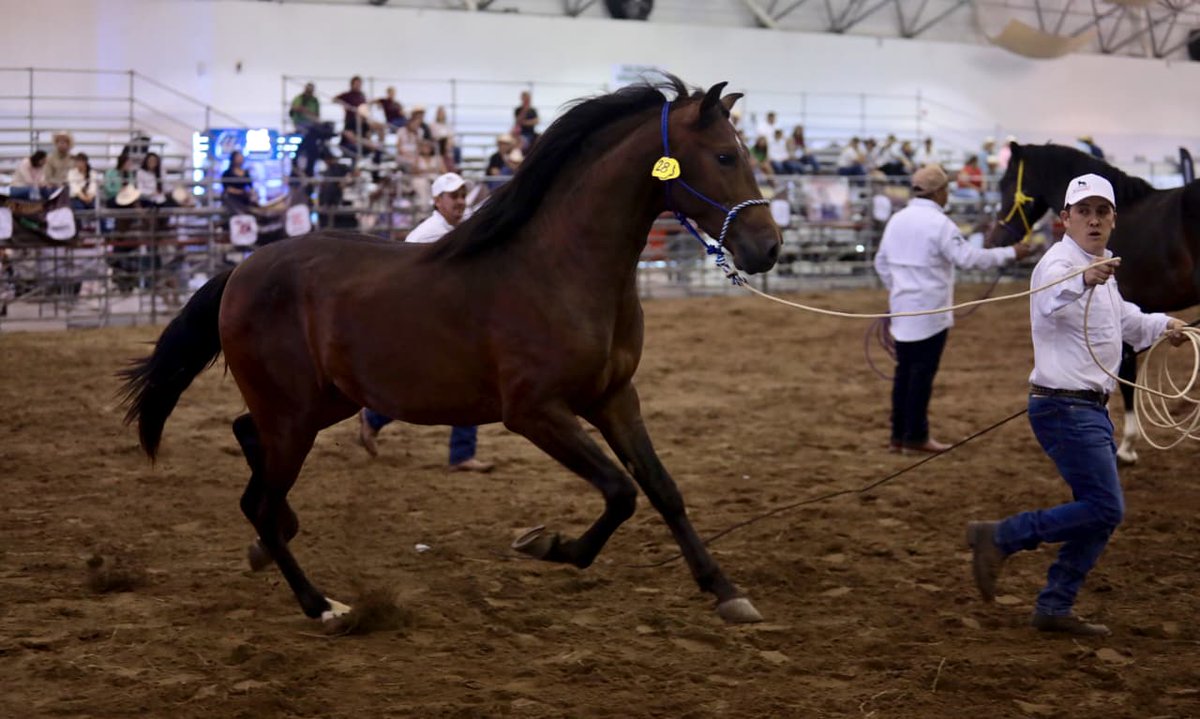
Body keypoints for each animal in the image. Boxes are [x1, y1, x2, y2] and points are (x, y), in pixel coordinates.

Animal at [119, 76, 782, 626]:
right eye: (725, 156)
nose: (769, 247)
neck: (560, 269)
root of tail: (242, 269)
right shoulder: (535, 412)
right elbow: (620, 492)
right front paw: (548, 545)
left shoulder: (615, 398)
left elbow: (662, 488)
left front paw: (726, 592)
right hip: (294, 415)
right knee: (258, 497)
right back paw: (322, 605)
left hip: (318, 405)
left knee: (248, 450)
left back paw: (276, 541)